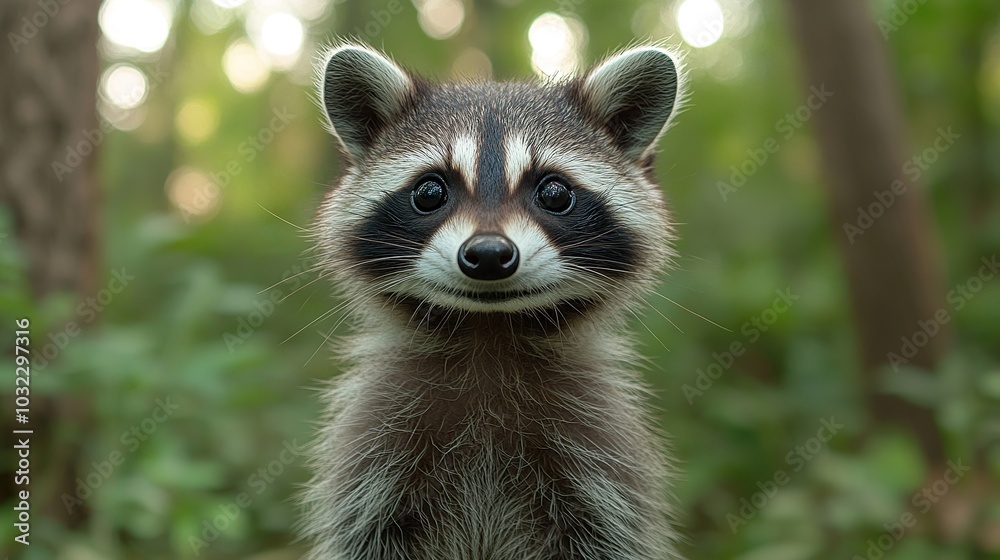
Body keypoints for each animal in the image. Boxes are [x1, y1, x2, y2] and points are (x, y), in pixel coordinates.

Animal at [302, 43, 685, 560]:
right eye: (430, 191)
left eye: (555, 192)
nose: (487, 254)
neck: (489, 331)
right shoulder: (375, 452)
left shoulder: (599, 461)